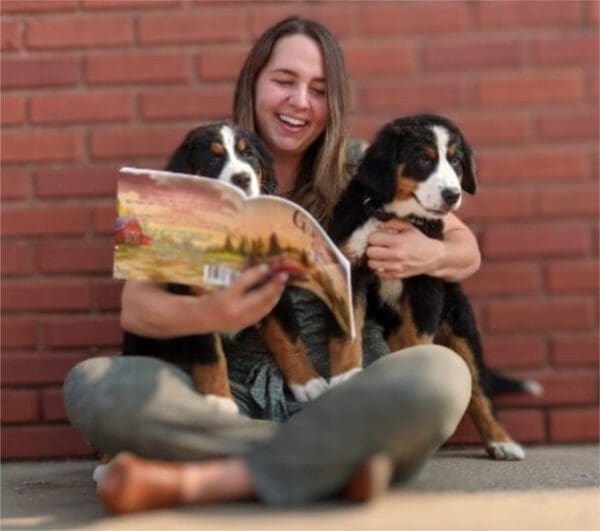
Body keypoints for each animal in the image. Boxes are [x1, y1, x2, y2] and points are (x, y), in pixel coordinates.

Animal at [328, 116, 544, 462]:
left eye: (456, 161)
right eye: (423, 160)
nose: (452, 194)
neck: (395, 217)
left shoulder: (426, 281)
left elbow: (419, 342)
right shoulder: (351, 269)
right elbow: (347, 334)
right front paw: (344, 377)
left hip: (461, 324)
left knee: (480, 388)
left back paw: (502, 442)